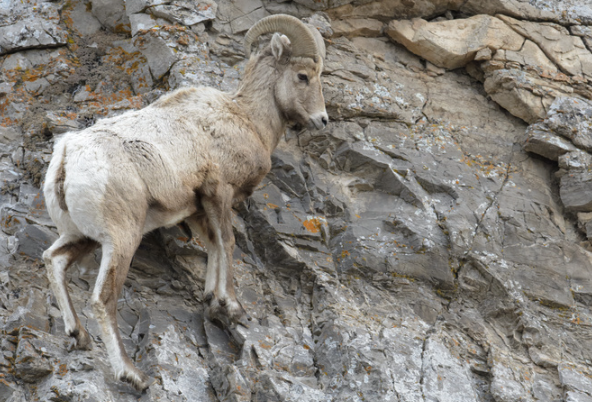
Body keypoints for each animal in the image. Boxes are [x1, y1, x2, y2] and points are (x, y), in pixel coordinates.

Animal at [42, 14, 328, 392]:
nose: (322, 120)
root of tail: (67, 155)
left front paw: (212, 301)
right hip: (121, 239)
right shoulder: (219, 191)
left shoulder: (197, 208)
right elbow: (227, 242)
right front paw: (232, 306)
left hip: (80, 236)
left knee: (54, 260)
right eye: (303, 76)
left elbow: (213, 245)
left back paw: (79, 336)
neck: (248, 118)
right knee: (104, 299)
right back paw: (134, 375)